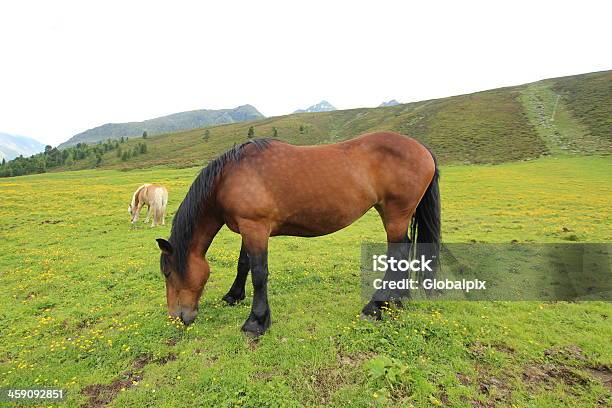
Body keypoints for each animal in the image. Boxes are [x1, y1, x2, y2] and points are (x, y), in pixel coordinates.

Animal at [155, 132, 438, 336]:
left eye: (168, 272)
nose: (177, 317)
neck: (228, 177)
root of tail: (423, 149)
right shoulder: (248, 229)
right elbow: (243, 264)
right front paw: (233, 296)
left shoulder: (255, 228)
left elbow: (259, 274)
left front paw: (256, 322)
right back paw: (396, 301)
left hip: (395, 215)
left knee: (397, 255)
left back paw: (376, 307)